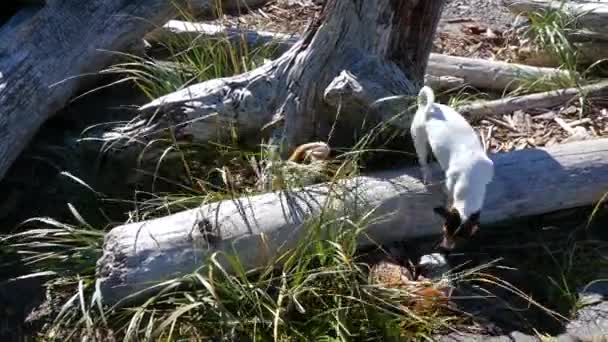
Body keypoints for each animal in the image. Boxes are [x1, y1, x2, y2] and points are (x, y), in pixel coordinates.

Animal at [408, 85, 494, 251]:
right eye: (444, 230)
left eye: (461, 238)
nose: (445, 249)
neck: (471, 180)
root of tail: (429, 107)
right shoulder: (450, 183)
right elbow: (448, 195)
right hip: (419, 139)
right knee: (423, 161)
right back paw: (427, 175)